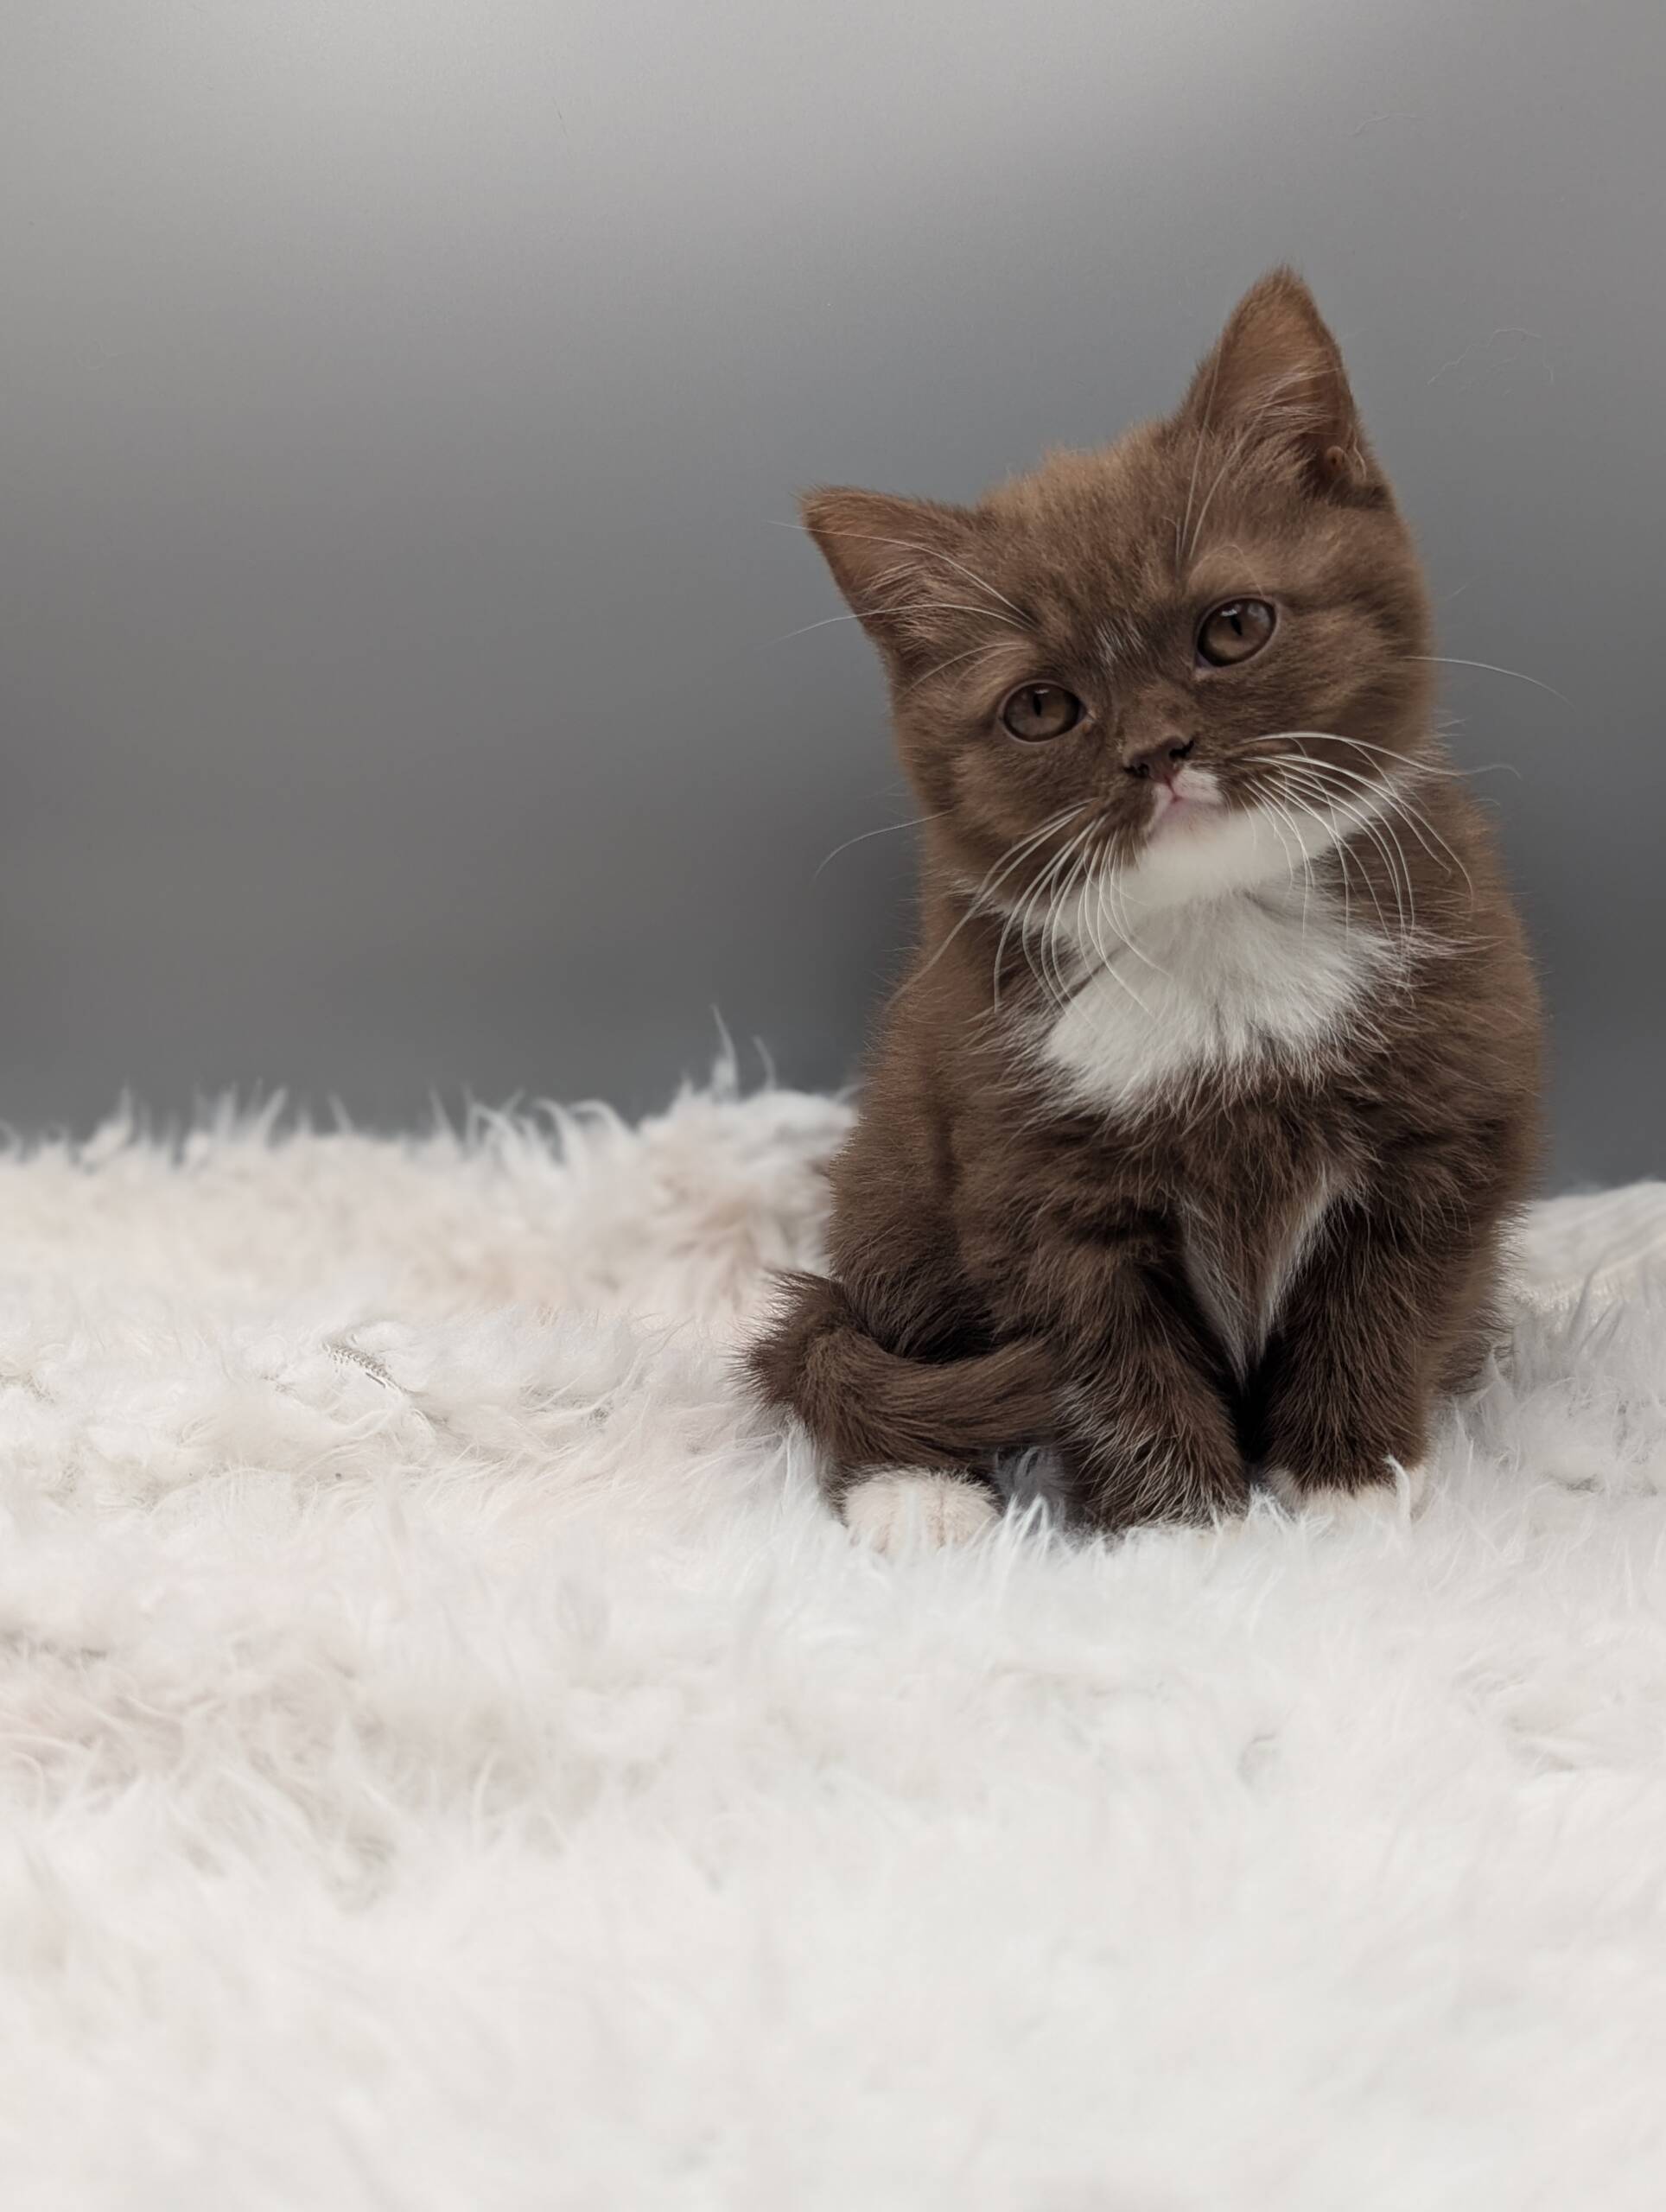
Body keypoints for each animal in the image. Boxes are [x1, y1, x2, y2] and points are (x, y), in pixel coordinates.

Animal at [747, 269, 1542, 1552]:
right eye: (1039, 708)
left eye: (1233, 627)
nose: (1158, 750)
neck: (1219, 933)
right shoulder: (1024, 1157)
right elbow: (1106, 1356)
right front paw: (1185, 1536)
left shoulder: (1448, 1106)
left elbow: (1383, 1299)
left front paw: (1350, 1486)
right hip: (898, 1151)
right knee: (868, 1328)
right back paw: (912, 1488)